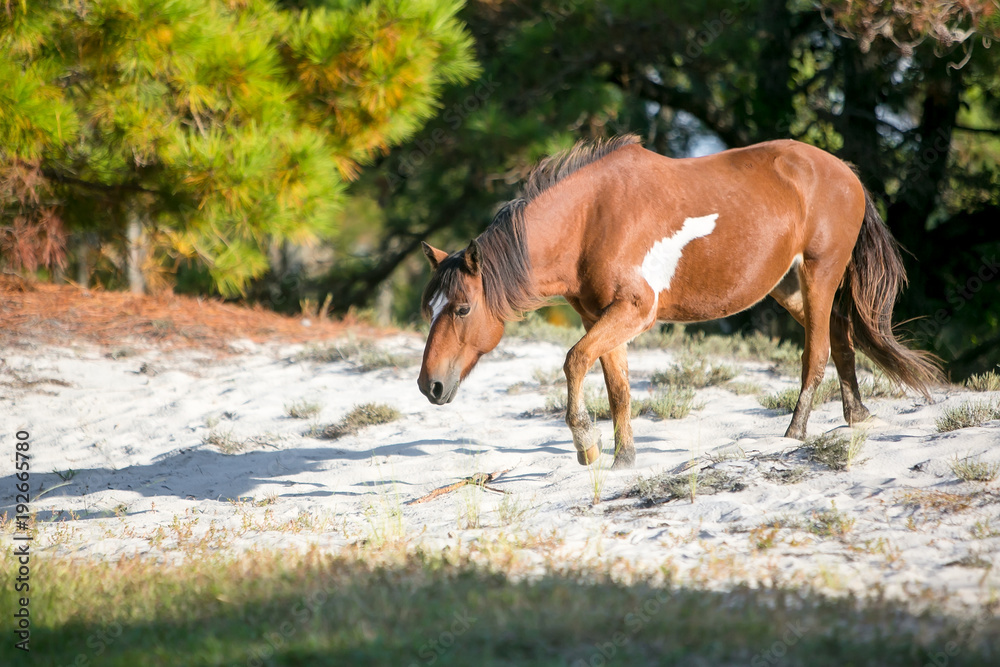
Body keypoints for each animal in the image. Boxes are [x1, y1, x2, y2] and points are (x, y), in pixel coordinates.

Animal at [417, 135, 942, 469]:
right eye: (430, 309)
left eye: (462, 309)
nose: (430, 386)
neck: (591, 220)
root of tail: (846, 173)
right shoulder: (602, 317)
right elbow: (618, 388)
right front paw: (624, 458)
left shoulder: (634, 310)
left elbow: (573, 361)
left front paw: (586, 443)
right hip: (790, 287)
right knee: (842, 339)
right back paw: (857, 417)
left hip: (819, 276)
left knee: (816, 353)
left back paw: (795, 433)